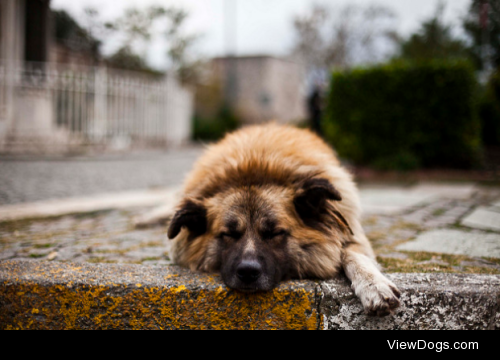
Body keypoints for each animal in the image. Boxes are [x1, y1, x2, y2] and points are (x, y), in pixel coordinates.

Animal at [150, 125, 400, 316]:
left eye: (275, 233)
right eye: (228, 234)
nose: (248, 272)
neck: (255, 171)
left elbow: (352, 254)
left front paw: (374, 286)